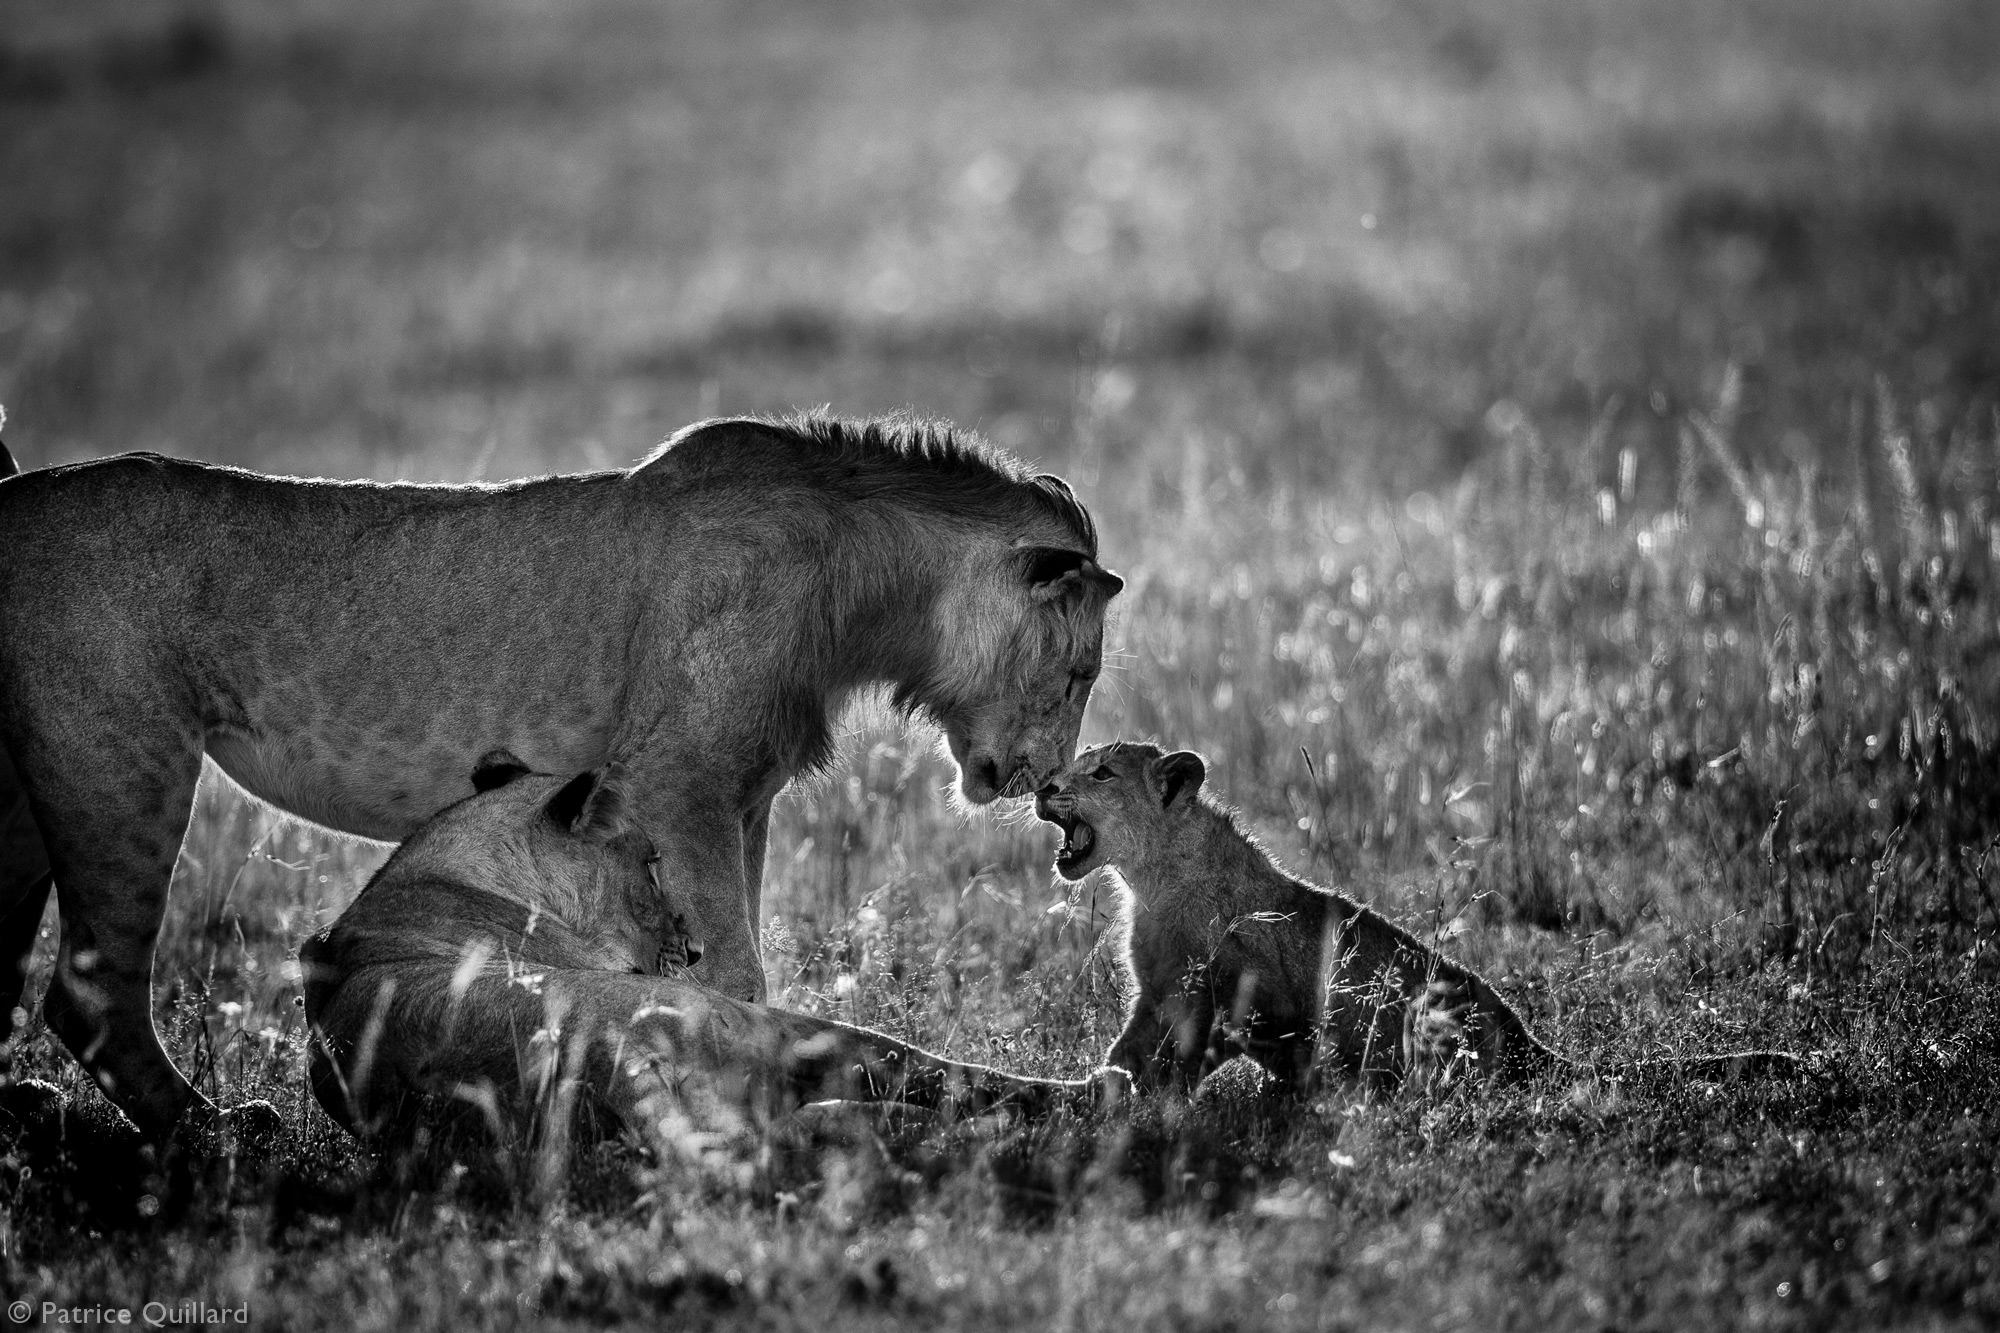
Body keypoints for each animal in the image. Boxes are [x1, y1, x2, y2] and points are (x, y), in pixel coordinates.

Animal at [0, 410, 1120, 1136]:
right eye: (1080, 670)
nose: (1040, 781)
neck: (860, 593)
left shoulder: (742, 801)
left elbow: (734, 945)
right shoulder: (681, 780)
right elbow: (740, 973)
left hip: (28, 799)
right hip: (122, 773)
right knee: (91, 995)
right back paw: (216, 1131)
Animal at [298, 748, 1080, 1184]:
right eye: (650, 864)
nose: (696, 950)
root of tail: (599, 1064)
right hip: (748, 1023)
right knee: (922, 1076)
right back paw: (1073, 1098)